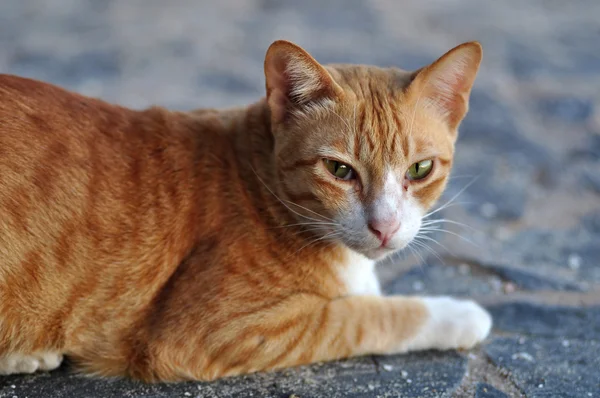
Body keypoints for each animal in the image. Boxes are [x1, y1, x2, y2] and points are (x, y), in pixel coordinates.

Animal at [0, 39, 490, 380]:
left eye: (420, 169)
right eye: (339, 170)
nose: (384, 226)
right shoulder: (219, 332)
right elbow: (367, 316)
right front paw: (459, 315)